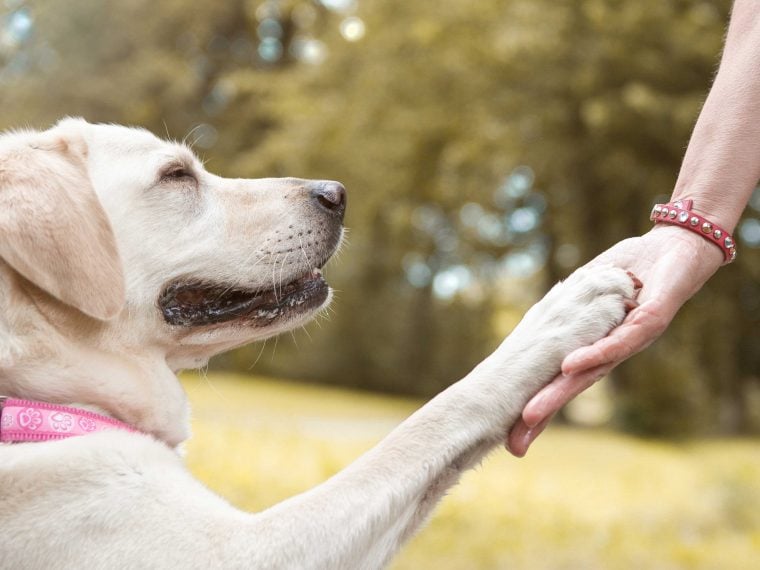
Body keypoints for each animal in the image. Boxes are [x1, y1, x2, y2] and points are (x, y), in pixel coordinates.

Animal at [0, 116, 636, 568]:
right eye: (177, 175)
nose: (338, 193)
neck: (49, 389)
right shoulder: (246, 551)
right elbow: (423, 426)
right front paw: (558, 317)